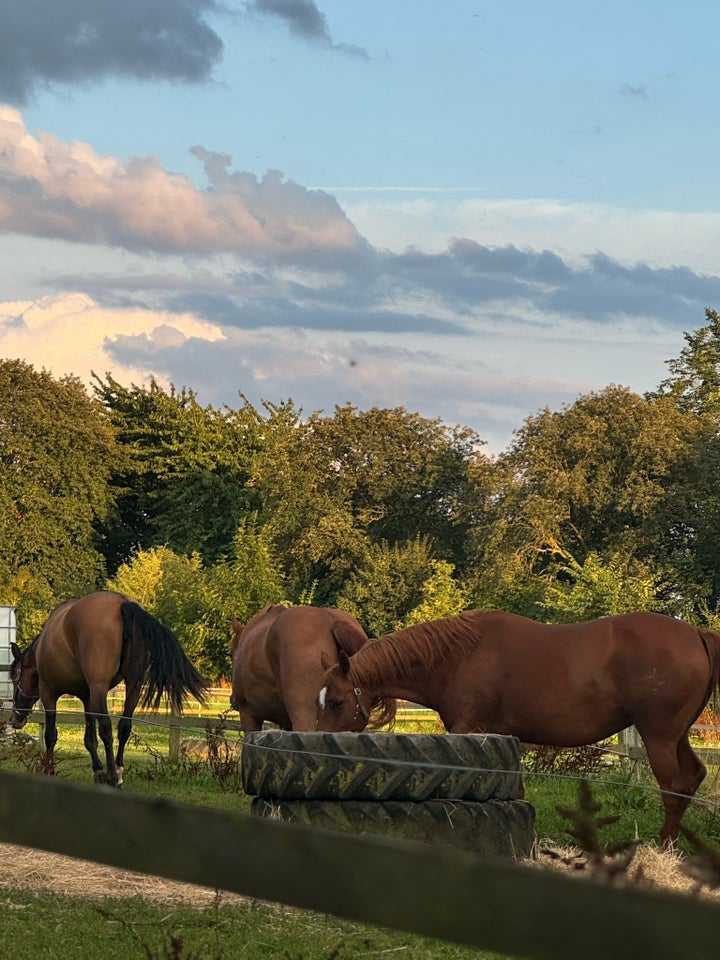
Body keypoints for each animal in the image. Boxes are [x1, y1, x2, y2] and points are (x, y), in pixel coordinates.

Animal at [9, 592, 210, 788]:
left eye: (14, 677)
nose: (14, 719)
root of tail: (123, 603)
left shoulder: (49, 693)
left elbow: (51, 735)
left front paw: (49, 771)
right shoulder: (87, 697)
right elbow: (90, 739)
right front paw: (98, 771)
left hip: (100, 688)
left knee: (106, 728)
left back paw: (112, 776)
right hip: (133, 686)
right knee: (124, 727)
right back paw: (119, 773)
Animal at [316, 612, 720, 844]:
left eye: (335, 701)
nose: (315, 738)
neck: (459, 655)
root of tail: (696, 634)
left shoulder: (468, 730)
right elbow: (518, 793)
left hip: (659, 737)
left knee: (673, 787)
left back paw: (663, 847)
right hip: (676, 737)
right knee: (691, 779)